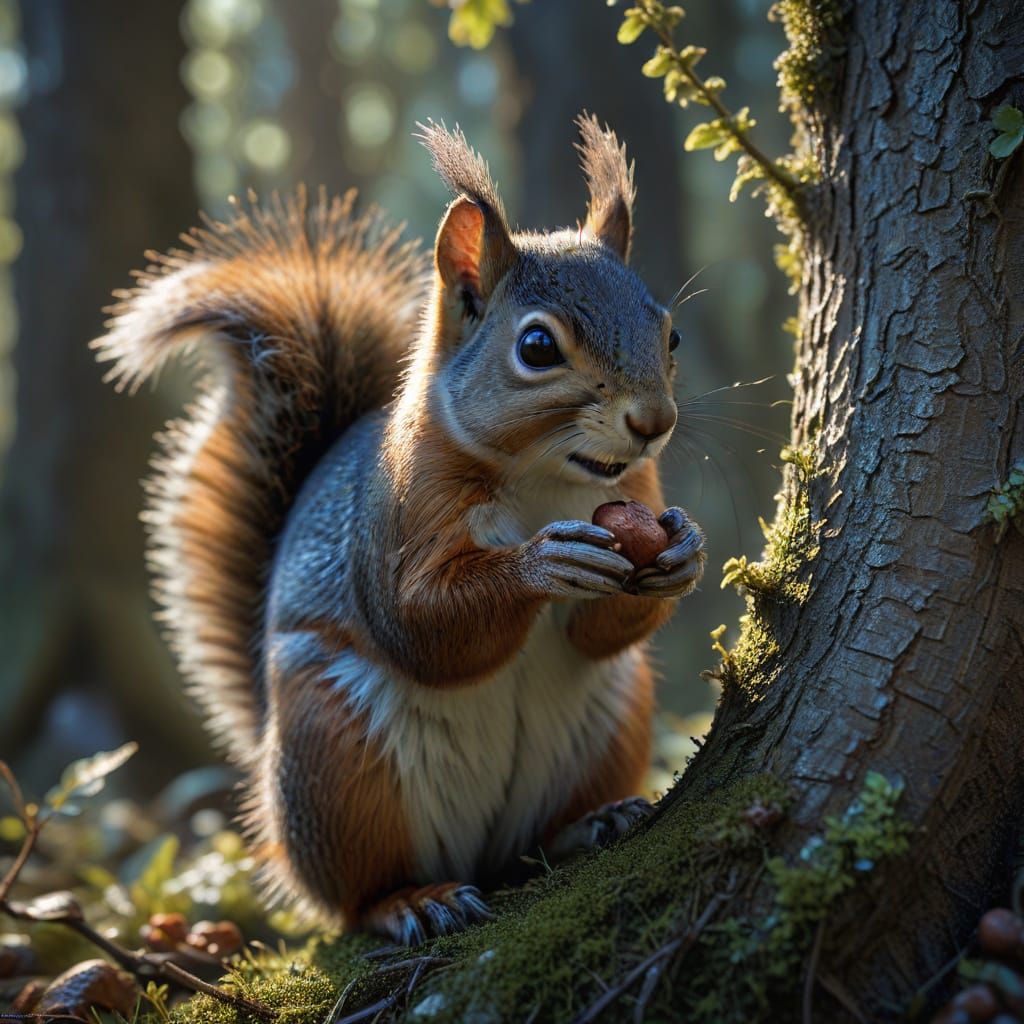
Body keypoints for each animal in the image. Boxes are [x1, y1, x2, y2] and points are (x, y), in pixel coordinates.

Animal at [93, 114, 706, 945]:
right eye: (537, 347)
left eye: (670, 336)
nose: (653, 423)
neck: (549, 478)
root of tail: (479, 854)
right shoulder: (399, 519)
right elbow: (422, 625)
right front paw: (539, 567)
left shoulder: (634, 493)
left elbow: (597, 633)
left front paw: (682, 554)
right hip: (337, 758)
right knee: (355, 896)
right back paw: (412, 900)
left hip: (611, 719)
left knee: (532, 843)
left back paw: (589, 825)